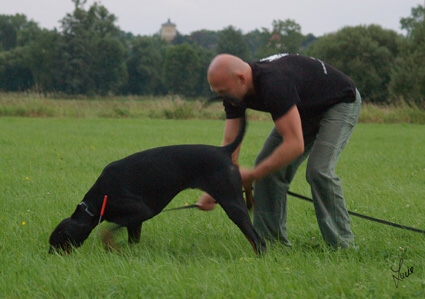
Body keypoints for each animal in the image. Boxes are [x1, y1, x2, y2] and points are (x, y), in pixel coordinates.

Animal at [48, 102, 264, 256]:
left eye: (57, 242)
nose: (50, 255)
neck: (96, 203)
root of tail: (224, 150)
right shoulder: (135, 223)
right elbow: (131, 240)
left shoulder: (141, 212)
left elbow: (106, 232)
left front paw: (111, 248)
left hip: (230, 201)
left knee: (257, 239)